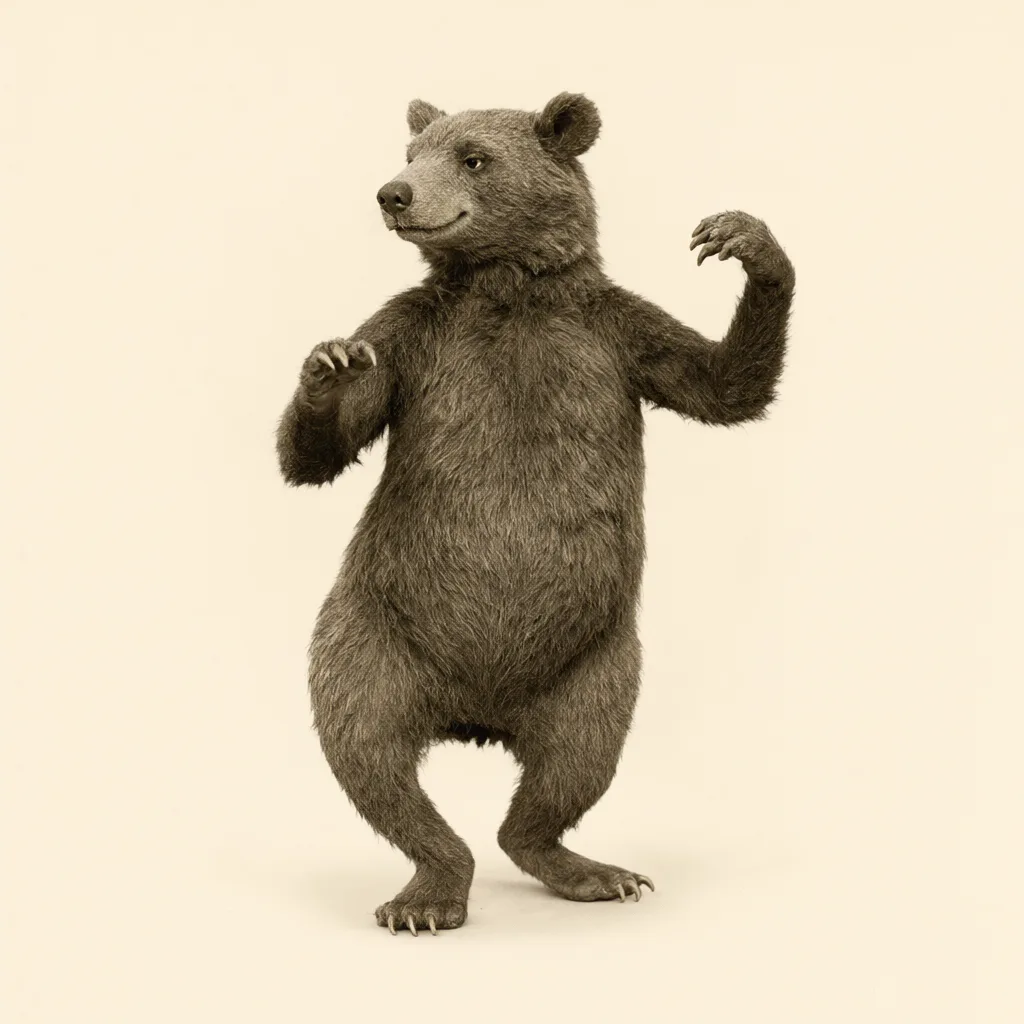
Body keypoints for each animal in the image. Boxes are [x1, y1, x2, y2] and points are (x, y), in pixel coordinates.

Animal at [276, 92, 795, 935]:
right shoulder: (414, 340)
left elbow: (723, 383)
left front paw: (743, 238)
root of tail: (477, 716)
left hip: (596, 663)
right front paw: (329, 366)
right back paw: (428, 893)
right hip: (371, 631)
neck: (508, 284)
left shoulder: (611, 336)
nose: (394, 193)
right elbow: (318, 453)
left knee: (574, 765)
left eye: (474, 157)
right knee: (369, 750)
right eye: (413, 150)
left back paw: (589, 869)